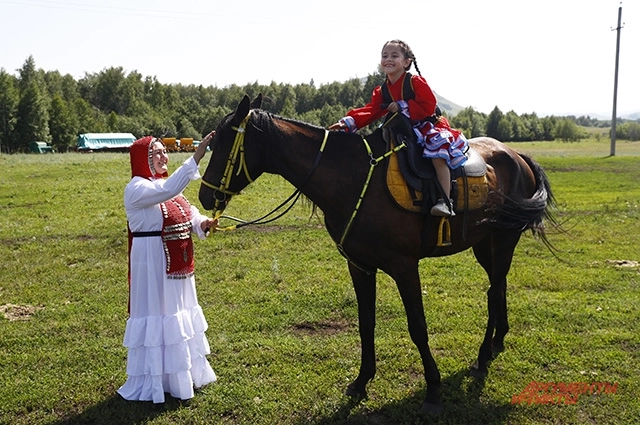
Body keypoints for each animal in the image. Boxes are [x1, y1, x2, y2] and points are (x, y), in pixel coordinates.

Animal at [199, 94, 556, 412]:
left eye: (224, 143)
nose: (204, 195)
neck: (355, 179)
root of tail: (516, 154)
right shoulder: (359, 265)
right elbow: (365, 322)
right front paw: (361, 380)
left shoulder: (404, 266)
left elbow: (417, 326)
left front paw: (433, 388)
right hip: (484, 242)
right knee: (499, 285)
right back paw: (497, 341)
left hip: (505, 237)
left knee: (494, 291)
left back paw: (482, 357)